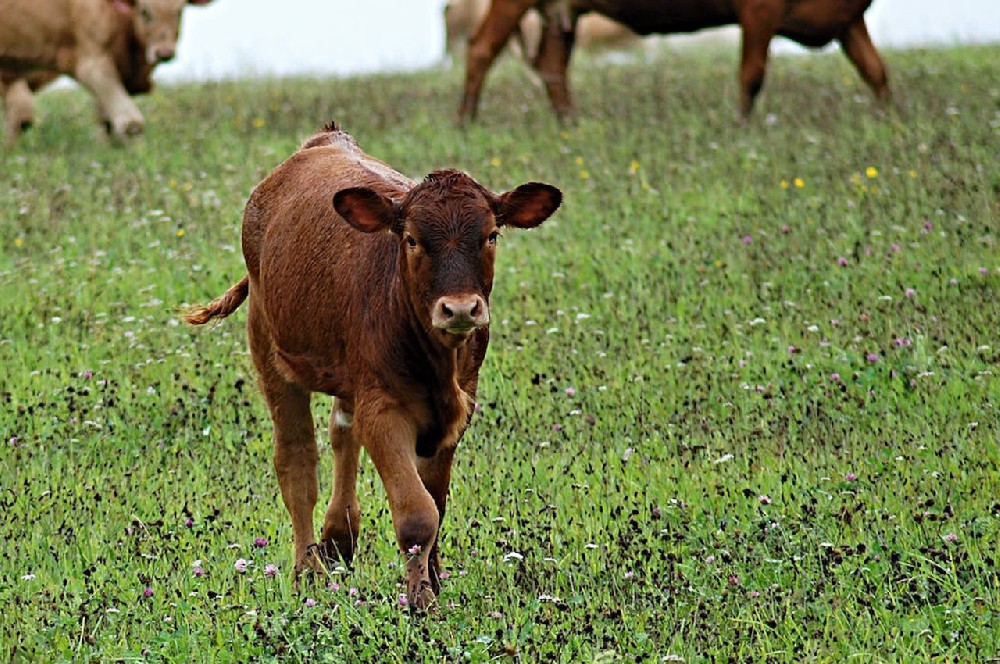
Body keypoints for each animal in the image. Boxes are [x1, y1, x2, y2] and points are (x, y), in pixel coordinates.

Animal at [0, 0, 215, 140]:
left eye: (179, 11)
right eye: (144, 11)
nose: (164, 52)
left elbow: (108, 123)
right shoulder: (91, 62)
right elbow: (130, 124)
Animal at [186, 124, 564, 612]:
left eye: (492, 235)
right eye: (412, 239)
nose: (460, 308)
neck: (437, 362)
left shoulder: (458, 407)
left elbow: (436, 500)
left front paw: (433, 579)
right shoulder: (384, 409)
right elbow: (418, 513)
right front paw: (421, 601)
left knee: (342, 432)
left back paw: (338, 537)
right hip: (270, 349)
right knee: (297, 461)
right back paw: (308, 569)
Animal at [460, 0, 892, 121]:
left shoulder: (848, 18)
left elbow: (875, 71)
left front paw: (891, 120)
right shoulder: (759, 11)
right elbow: (751, 76)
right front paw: (742, 128)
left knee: (552, 67)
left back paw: (570, 124)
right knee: (481, 49)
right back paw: (466, 122)